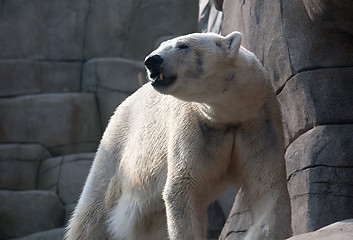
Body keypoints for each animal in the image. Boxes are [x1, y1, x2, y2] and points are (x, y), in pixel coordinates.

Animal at [66, 31, 292, 240]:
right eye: (160, 45)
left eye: (183, 45)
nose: (152, 60)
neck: (228, 114)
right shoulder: (194, 125)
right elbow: (183, 186)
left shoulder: (258, 123)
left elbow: (265, 184)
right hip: (116, 150)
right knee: (94, 211)